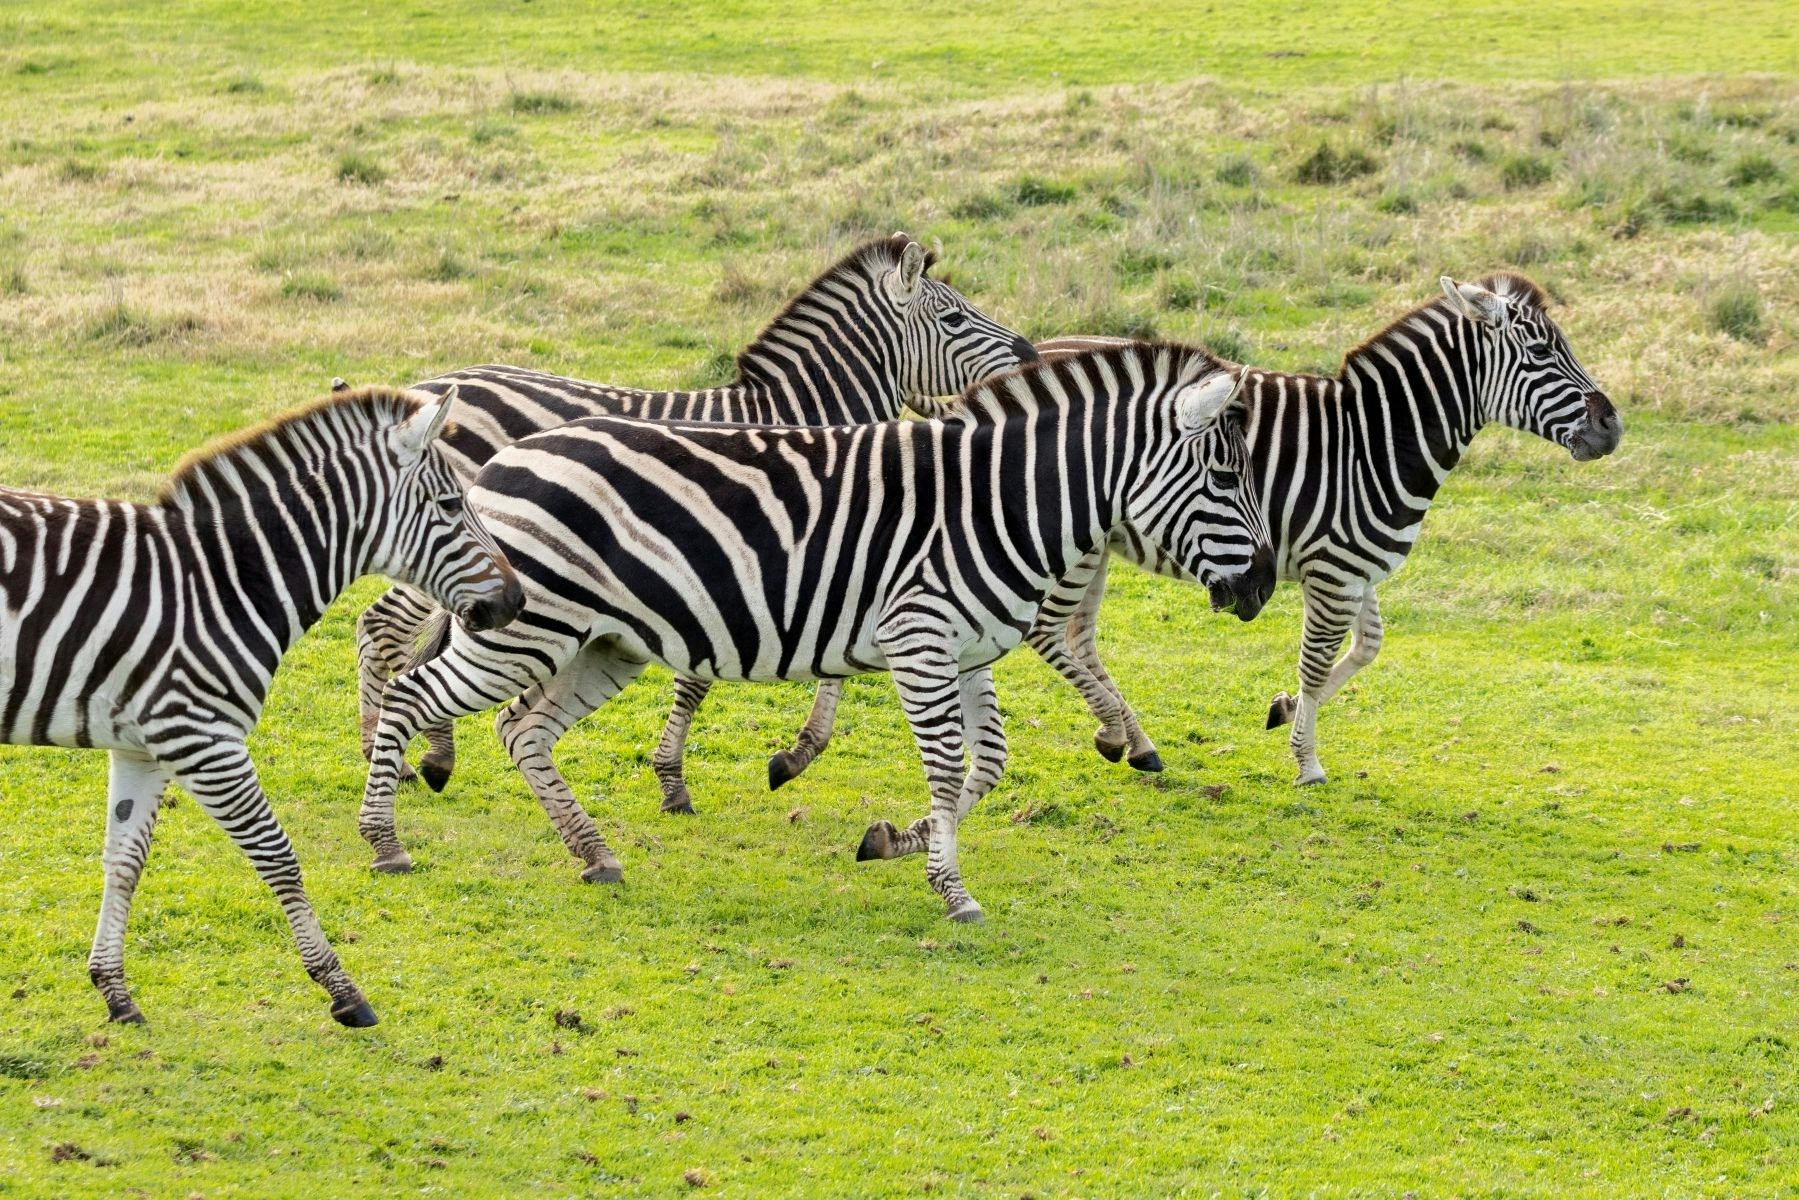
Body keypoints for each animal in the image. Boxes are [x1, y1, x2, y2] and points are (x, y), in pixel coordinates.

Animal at [0, 387, 522, 1027]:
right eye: (450, 504)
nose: (517, 600)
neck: (223, 582)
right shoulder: (202, 737)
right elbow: (277, 855)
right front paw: (342, 991)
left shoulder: (143, 746)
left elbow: (124, 861)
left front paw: (114, 991)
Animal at [350, 233, 1037, 841]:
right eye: (952, 317)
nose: (1030, 353)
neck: (792, 419)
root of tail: (425, 388)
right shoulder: (750, 560)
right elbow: (708, 674)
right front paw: (689, 777)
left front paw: (784, 754)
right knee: (384, 625)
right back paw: (391, 756)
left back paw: (422, 755)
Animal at [358, 342, 1275, 920]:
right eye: (1224, 475)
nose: (1264, 586)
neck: (999, 502)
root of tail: (497, 460)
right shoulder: (918, 642)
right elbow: (948, 767)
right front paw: (952, 890)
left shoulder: (967, 653)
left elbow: (988, 763)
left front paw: (897, 841)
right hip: (528, 630)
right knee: (412, 692)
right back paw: (386, 837)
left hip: (597, 644)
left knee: (523, 731)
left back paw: (593, 853)